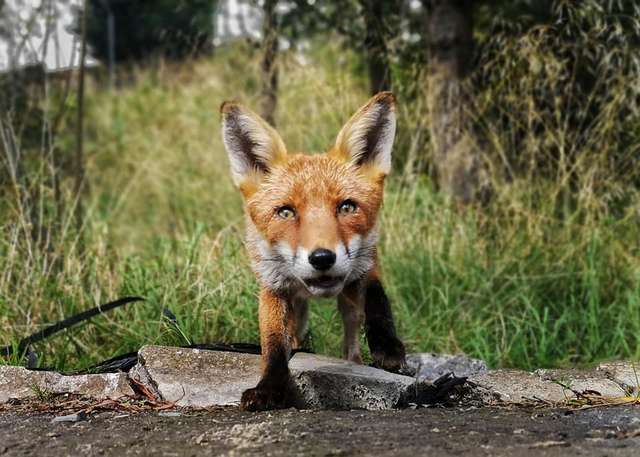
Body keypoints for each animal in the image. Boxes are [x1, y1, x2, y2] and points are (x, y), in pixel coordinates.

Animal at [220, 91, 408, 410]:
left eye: (347, 207)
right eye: (285, 212)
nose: (322, 258)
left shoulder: (365, 264)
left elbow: (378, 300)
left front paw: (387, 346)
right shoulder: (272, 286)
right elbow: (273, 344)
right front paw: (270, 387)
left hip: (348, 302)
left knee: (351, 338)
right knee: (294, 337)